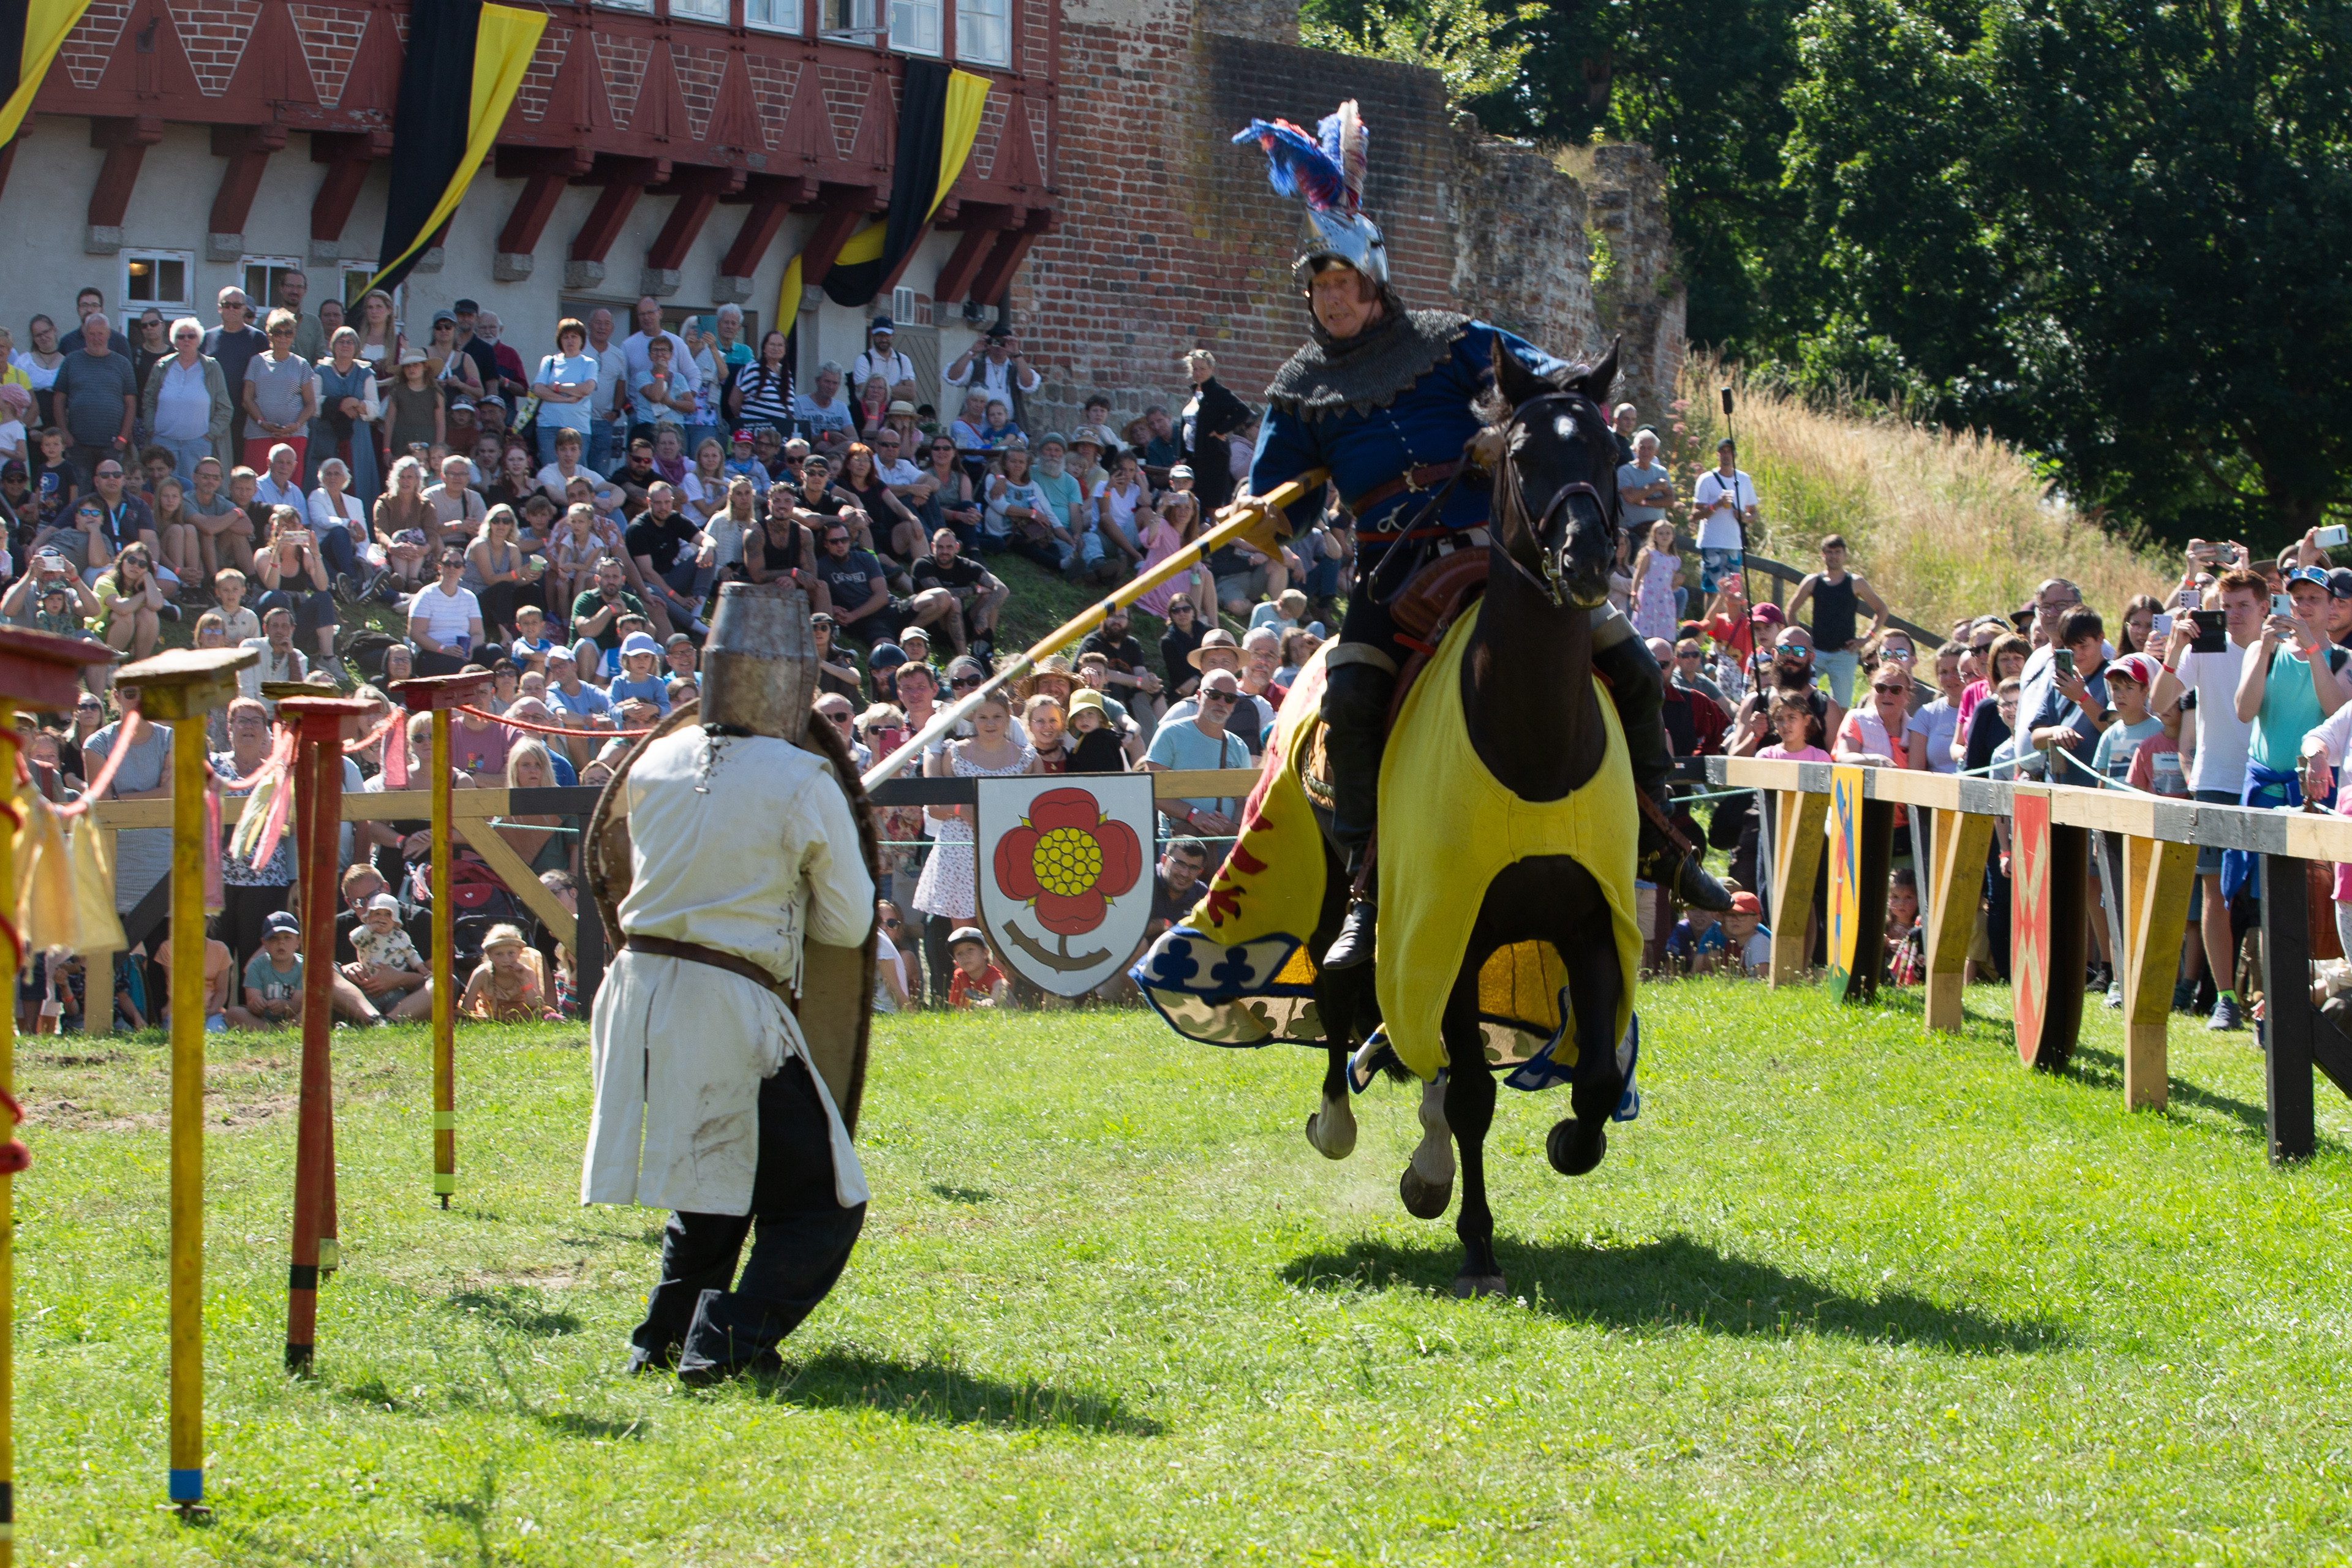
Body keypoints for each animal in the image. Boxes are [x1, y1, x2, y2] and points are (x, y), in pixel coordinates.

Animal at [1298, 342, 1633, 1298]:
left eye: (1609, 451)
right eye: (1521, 454)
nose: (1586, 560)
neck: (1533, 748)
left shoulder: (1590, 927)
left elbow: (1595, 1077)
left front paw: (1571, 1141)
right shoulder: (1446, 928)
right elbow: (1477, 1093)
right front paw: (1479, 1245)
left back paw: (1428, 1161)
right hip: (1359, 902)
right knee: (1340, 987)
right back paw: (1345, 1124)